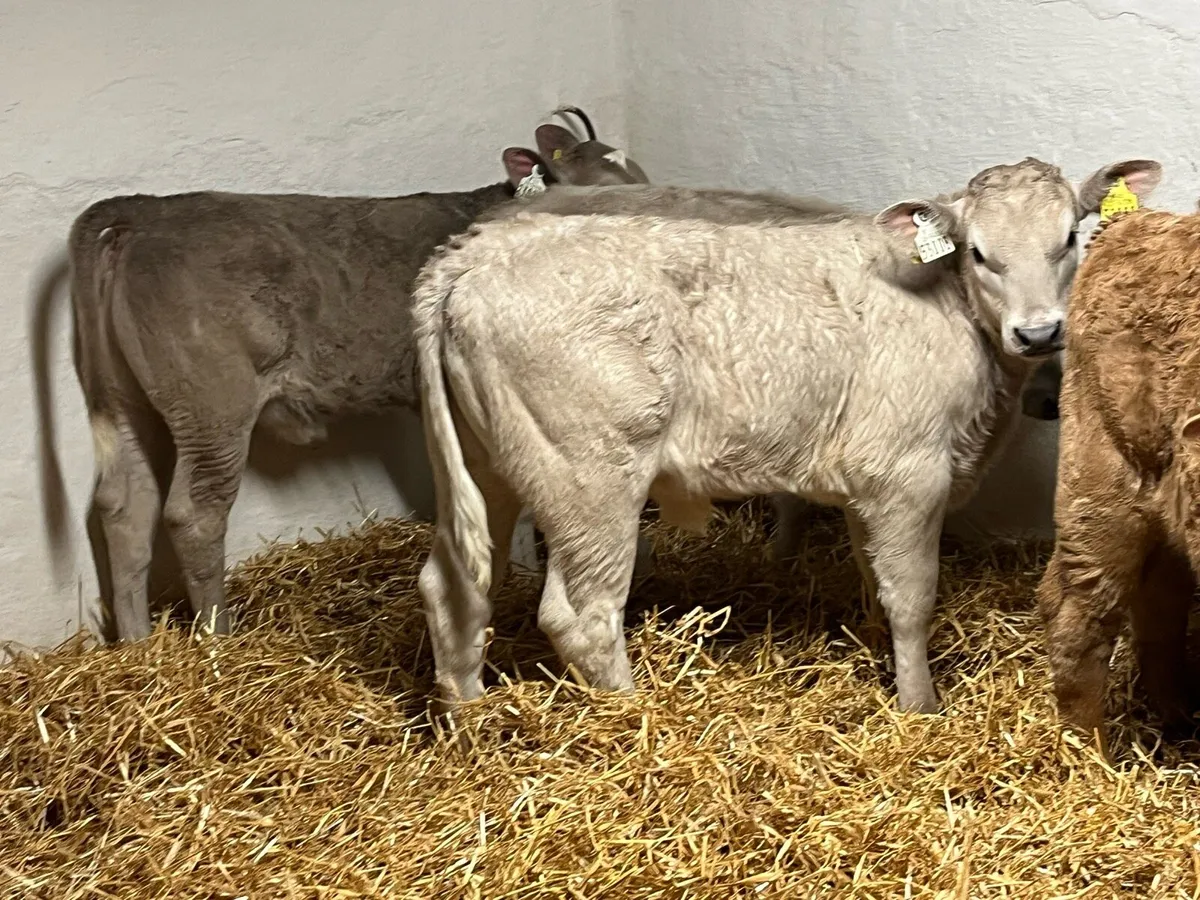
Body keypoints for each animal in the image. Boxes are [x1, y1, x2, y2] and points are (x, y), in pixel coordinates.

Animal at [49, 109, 649, 643]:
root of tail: (147, 212)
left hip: (125, 397)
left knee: (124, 505)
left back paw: (137, 642)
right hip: (213, 403)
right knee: (193, 513)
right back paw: (218, 639)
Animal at [411, 156, 1162, 717]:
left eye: (1069, 239)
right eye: (980, 254)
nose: (1038, 331)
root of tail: (472, 256)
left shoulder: (869, 481)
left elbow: (874, 578)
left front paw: (878, 655)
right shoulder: (909, 474)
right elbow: (913, 596)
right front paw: (920, 705)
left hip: (487, 465)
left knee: (453, 584)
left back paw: (466, 720)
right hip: (588, 475)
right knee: (583, 613)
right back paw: (632, 716)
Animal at [1038, 206, 1200, 756]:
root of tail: (1137, 219)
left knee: (1158, 602)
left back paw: (1177, 720)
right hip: (1099, 486)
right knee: (1078, 615)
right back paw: (1090, 758)